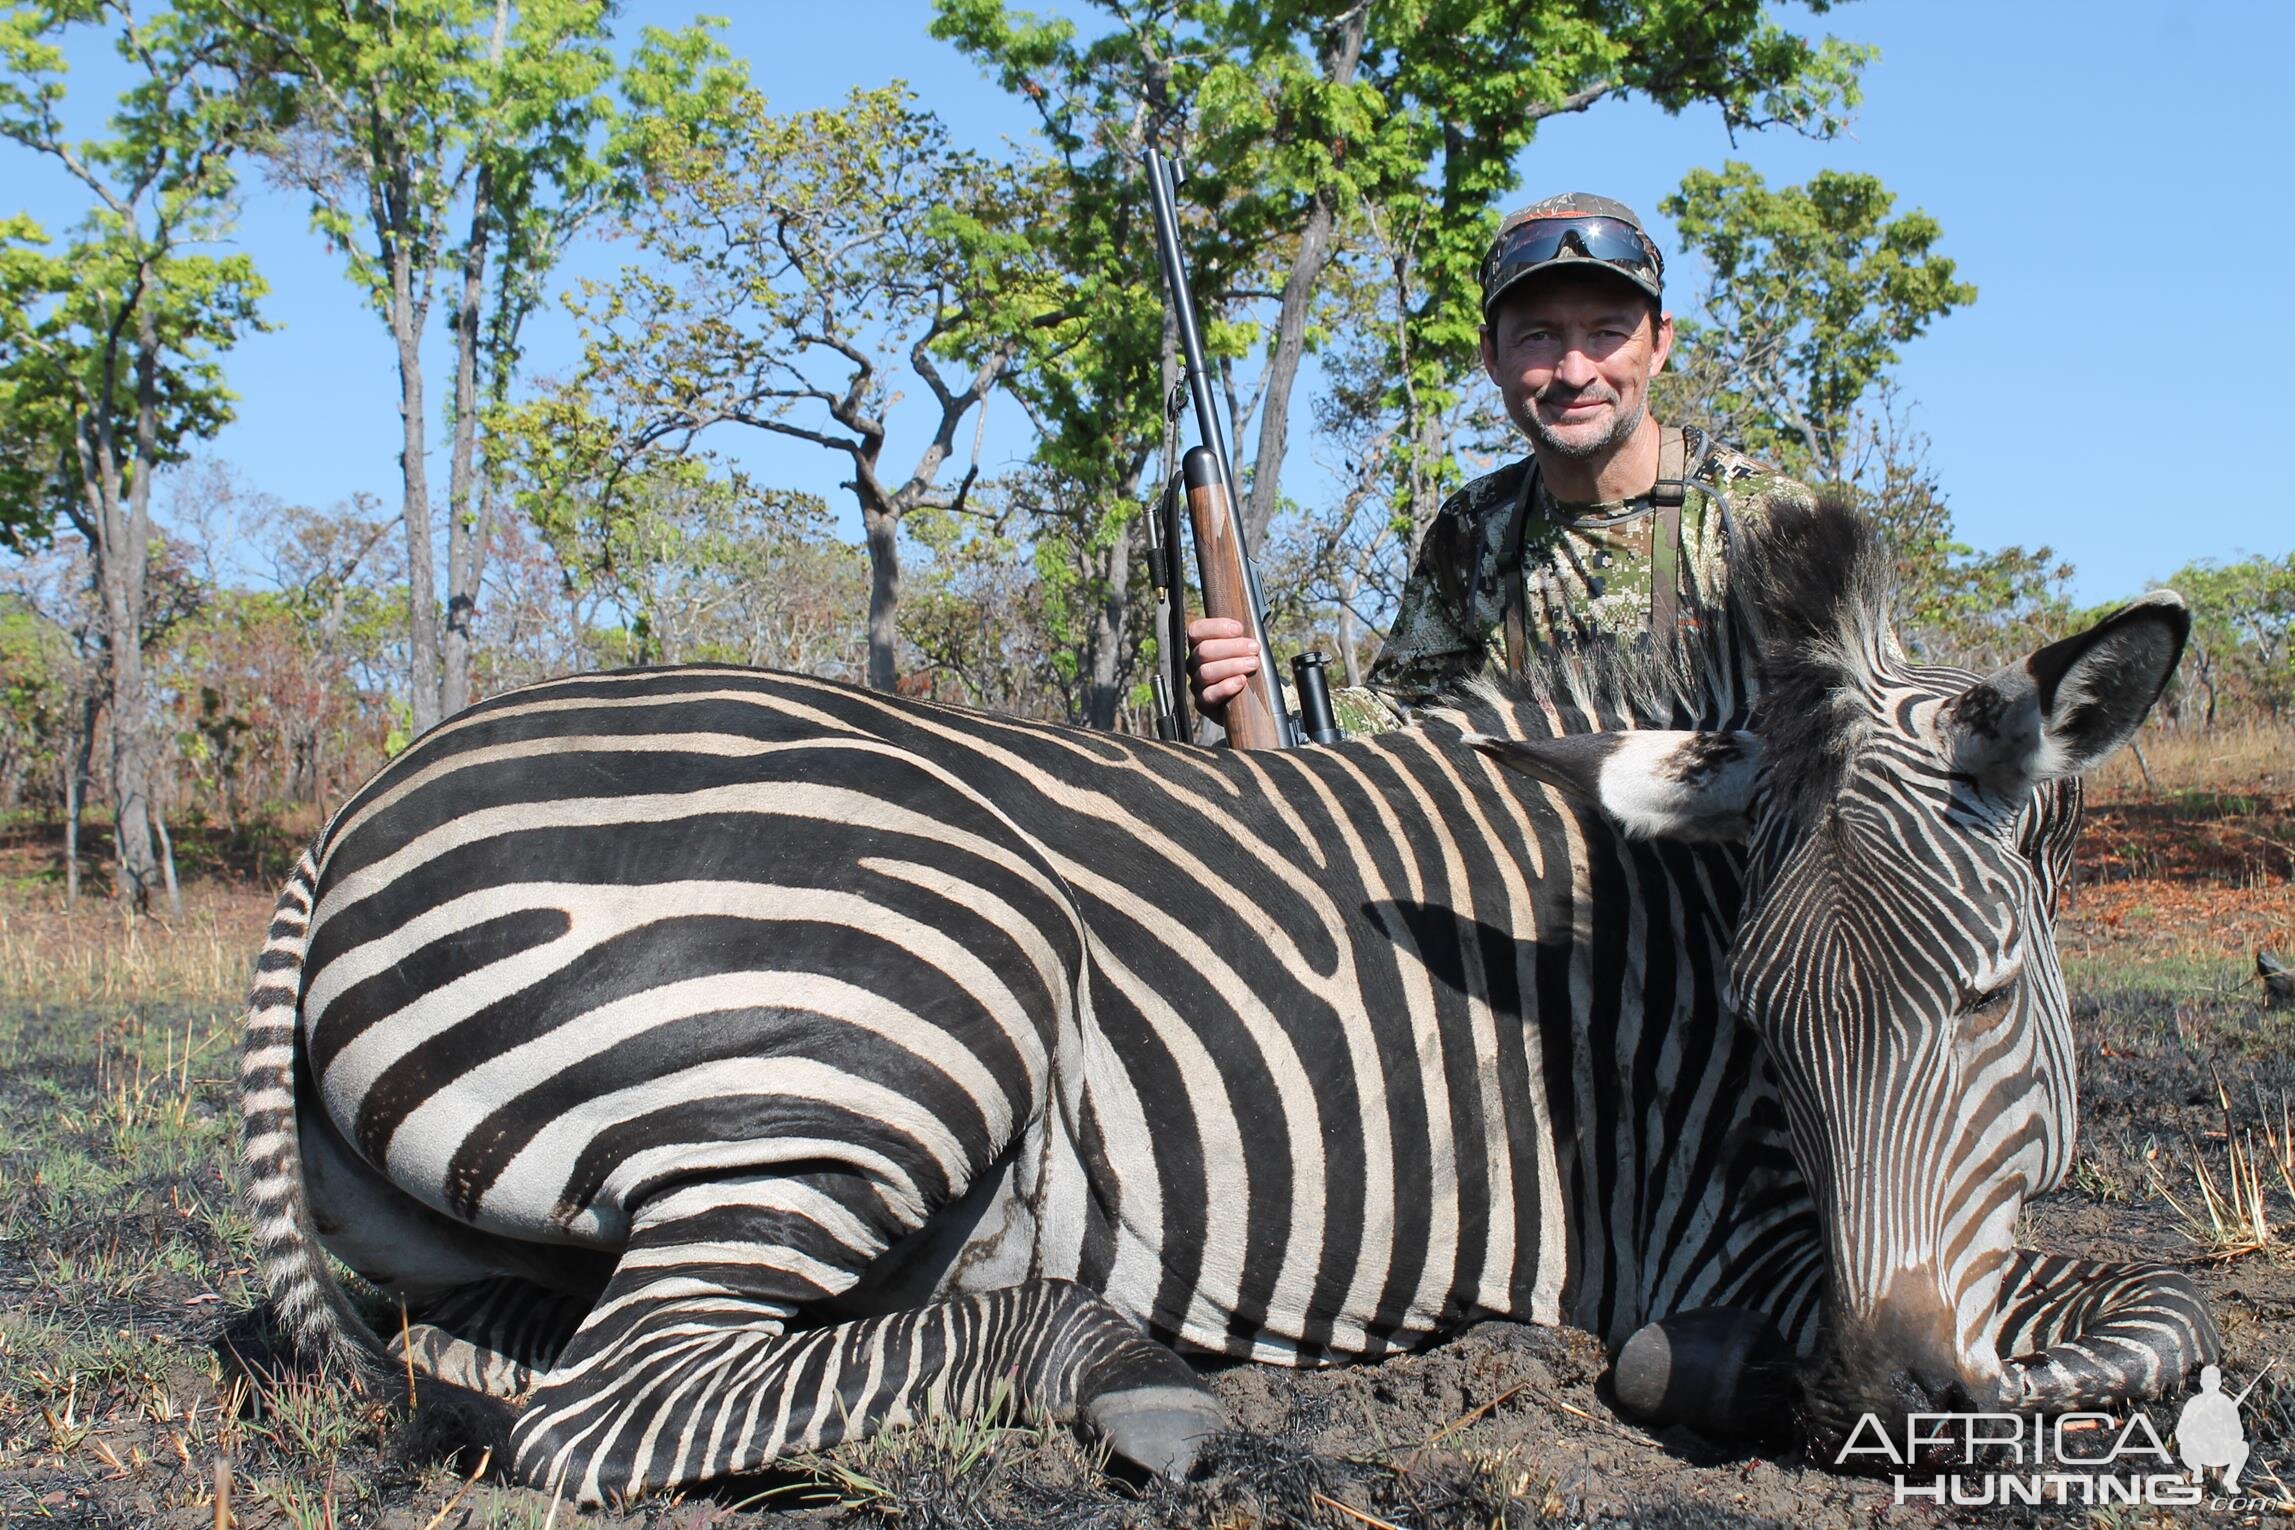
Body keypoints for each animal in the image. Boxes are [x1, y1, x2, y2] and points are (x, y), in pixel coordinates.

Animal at [232, 497, 2203, 1504]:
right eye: (1768, 1033)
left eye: (1982, 999)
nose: (1867, 1393)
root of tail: (358, 805)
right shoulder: (1731, 1231)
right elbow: (2166, 1301)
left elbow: (2137, 1296)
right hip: (902, 1018)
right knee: (609, 1411)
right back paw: (1131, 1380)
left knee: (493, 1356)